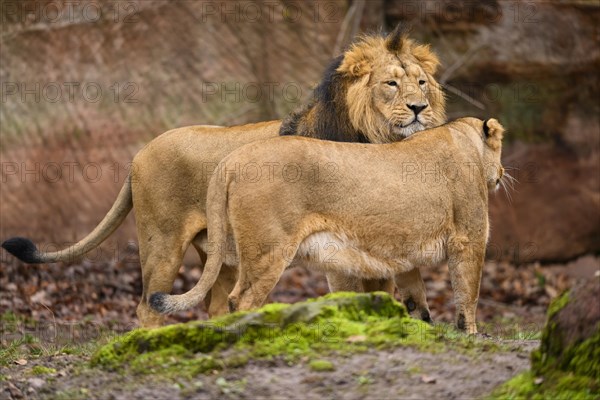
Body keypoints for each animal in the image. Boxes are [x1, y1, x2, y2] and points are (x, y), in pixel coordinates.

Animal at [2, 28, 446, 328]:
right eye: (391, 83)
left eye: (421, 82)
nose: (419, 107)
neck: (378, 139)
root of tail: (138, 154)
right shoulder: (342, 250)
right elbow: (358, 294)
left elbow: (399, 291)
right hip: (163, 245)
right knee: (149, 305)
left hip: (222, 254)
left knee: (216, 305)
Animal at [151, 119, 506, 334]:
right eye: (500, 150)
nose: (503, 172)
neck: (464, 138)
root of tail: (231, 160)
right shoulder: (468, 238)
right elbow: (468, 293)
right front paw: (470, 334)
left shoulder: (406, 252)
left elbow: (415, 299)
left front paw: (422, 329)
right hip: (269, 249)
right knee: (241, 299)